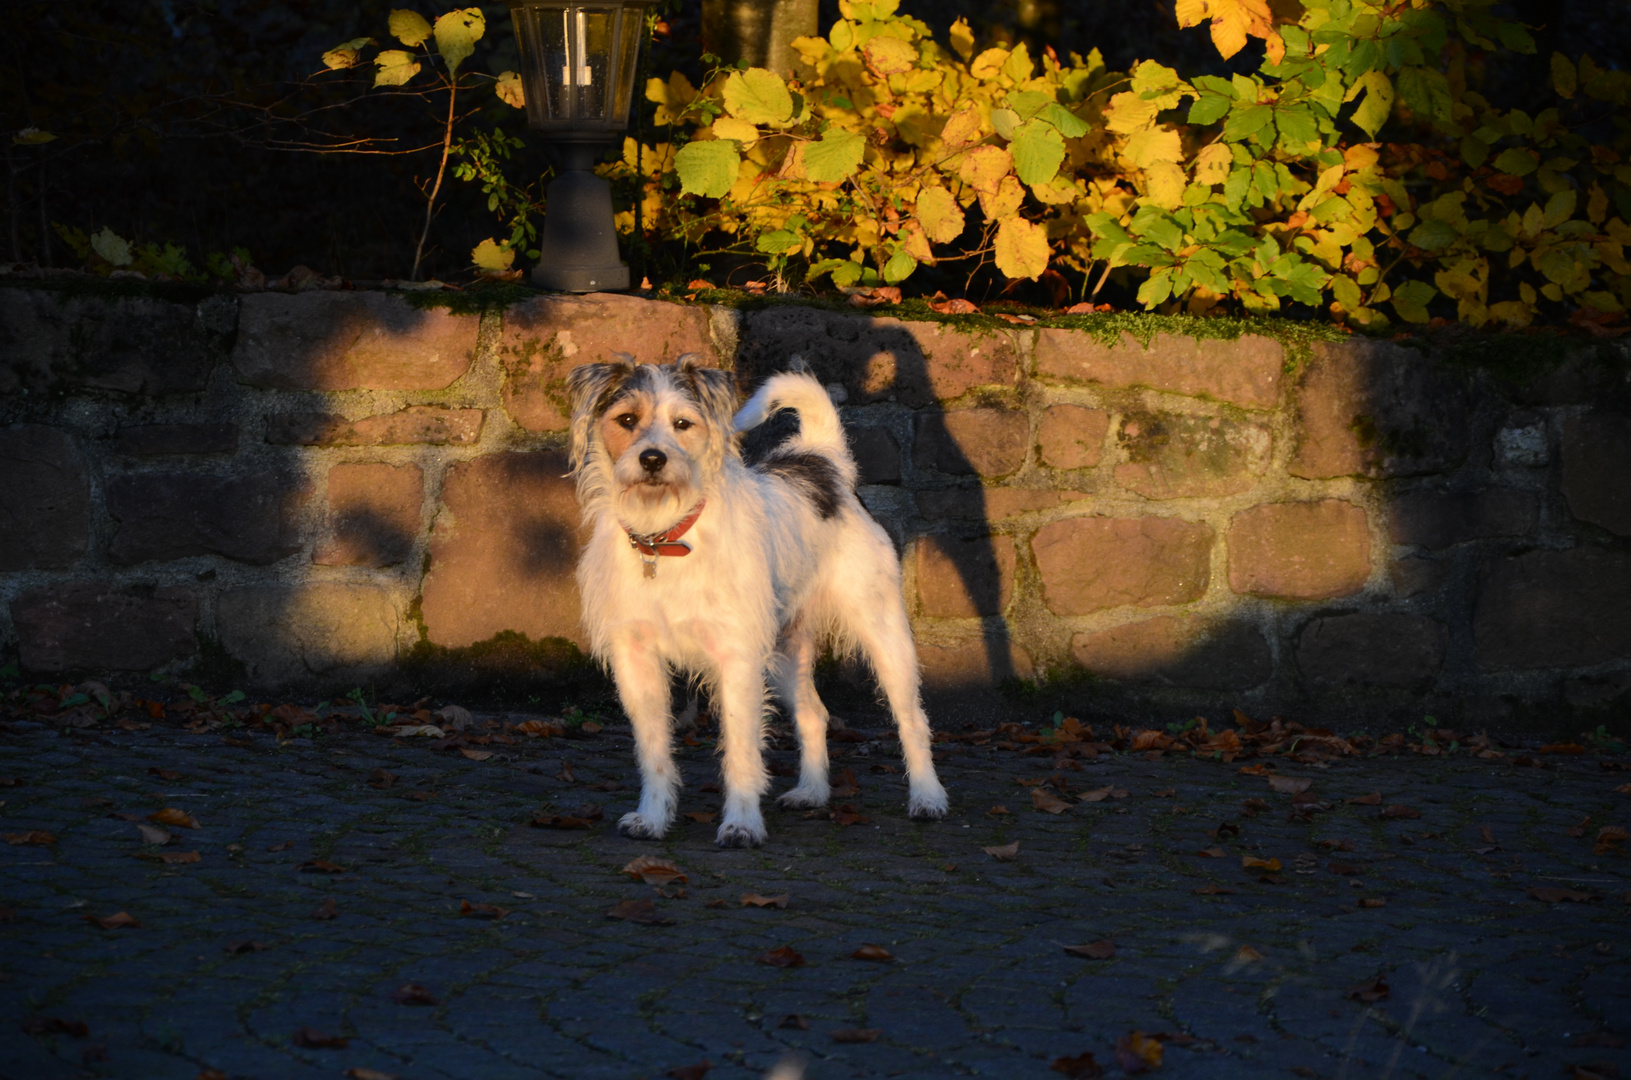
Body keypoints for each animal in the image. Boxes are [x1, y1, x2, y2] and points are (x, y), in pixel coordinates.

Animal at [567, 355, 952, 848]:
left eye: (682, 424)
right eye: (628, 420)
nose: (652, 459)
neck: (665, 538)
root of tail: (825, 465)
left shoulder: (737, 660)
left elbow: (741, 750)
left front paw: (742, 824)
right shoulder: (636, 661)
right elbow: (653, 750)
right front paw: (652, 818)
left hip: (884, 636)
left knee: (912, 719)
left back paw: (928, 797)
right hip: (785, 651)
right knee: (814, 713)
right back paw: (812, 793)